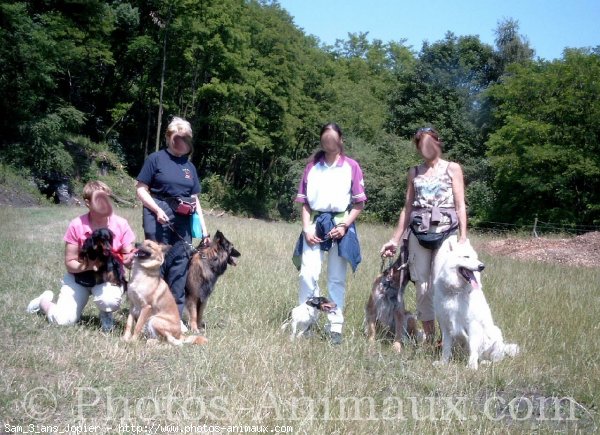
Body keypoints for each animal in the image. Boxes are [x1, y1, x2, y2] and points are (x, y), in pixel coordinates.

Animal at [432, 238, 520, 372]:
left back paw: (485, 362)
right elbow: (446, 348)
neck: (456, 291)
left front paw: (472, 366)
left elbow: (472, 347)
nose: (482, 266)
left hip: (495, 333)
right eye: (466, 257)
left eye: (476, 257)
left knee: (495, 359)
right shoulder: (446, 325)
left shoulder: (473, 325)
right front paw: (443, 363)